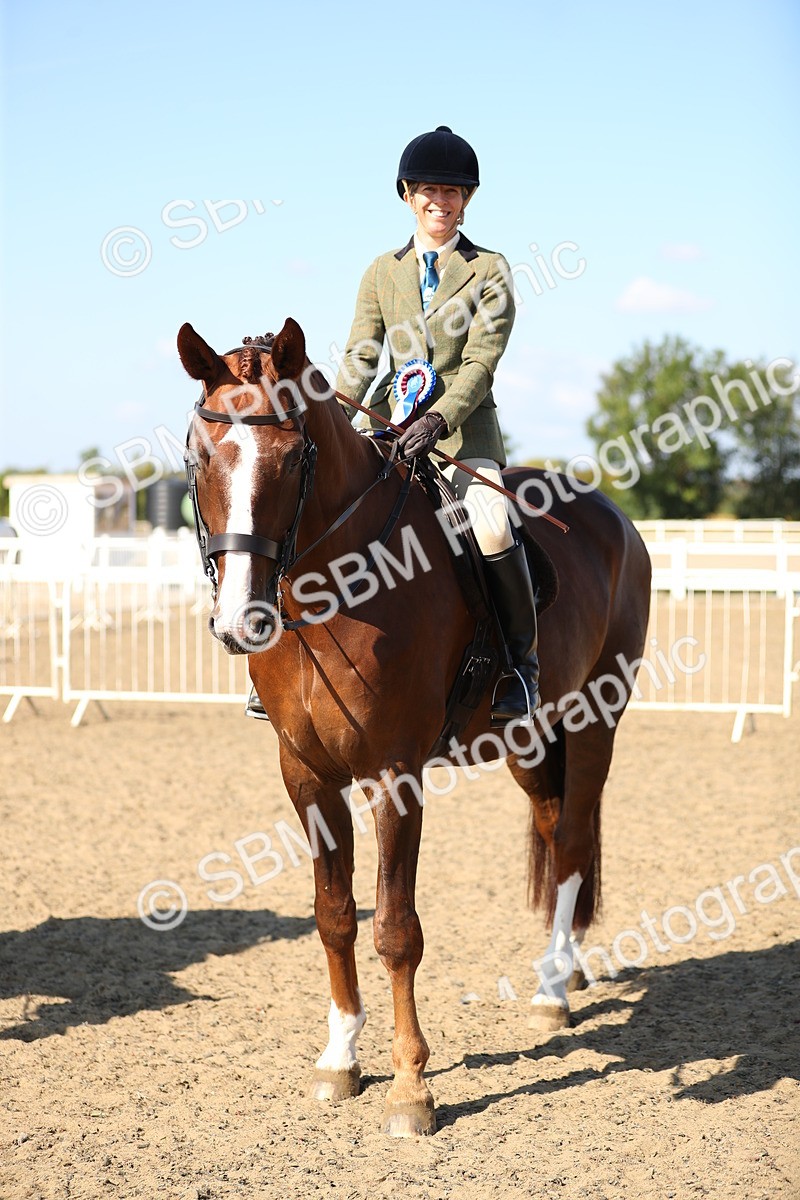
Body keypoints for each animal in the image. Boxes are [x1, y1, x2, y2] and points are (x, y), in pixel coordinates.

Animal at [177, 316, 652, 1137]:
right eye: (201, 455)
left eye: (293, 457)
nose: (241, 622)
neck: (337, 587)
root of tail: (613, 516)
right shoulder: (306, 774)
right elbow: (334, 914)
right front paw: (340, 1057)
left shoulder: (393, 776)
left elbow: (396, 928)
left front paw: (410, 1088)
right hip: (528, 738)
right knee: (554, 822)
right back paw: (564, 970)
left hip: (597, 718)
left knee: (572, 843)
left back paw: (552, 992)